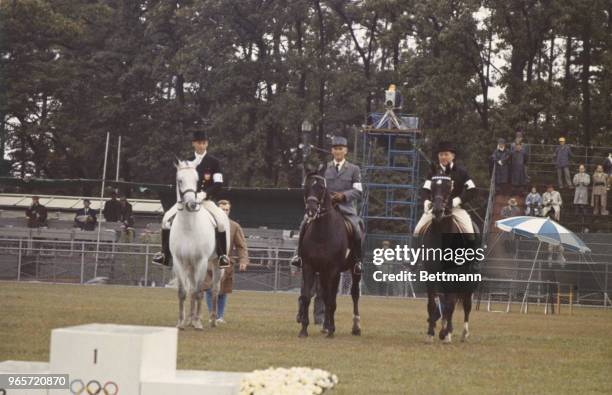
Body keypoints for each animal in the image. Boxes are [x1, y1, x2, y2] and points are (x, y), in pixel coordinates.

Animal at [170, 161, 227, 332]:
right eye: (180, 180)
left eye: (196, 180)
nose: (192, 204)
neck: (188, 226)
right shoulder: (179, 261)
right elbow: (183, 292)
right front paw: (181, 322)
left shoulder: (201, 261)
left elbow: (198, 291)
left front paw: (197, 323)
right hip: (190, 265)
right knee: (192, 289)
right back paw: (189, 319)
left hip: (215, 264)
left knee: (214, 290)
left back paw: (212, 320)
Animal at [298, 173, 360, 338]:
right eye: (306, 187)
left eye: (321, 187)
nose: (311, 209)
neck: (322, 233)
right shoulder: (309, 267)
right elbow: (307, 297)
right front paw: (303, 330)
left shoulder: (333, 270)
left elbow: (331, 301)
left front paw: (332, 330)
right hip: (324, 273)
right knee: (325, 296)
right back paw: (326, 326)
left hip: (353, 270)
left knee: (354, 294)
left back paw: (355, 327)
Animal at [418, 172, 480, 344]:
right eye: (433, 187)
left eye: (449, 188)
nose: (438, 210)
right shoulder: (431, 275)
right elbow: (433, 304)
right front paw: (431, 333)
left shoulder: (454, 275)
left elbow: (451, 305)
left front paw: (446, 334)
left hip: (469, 281)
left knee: (466, 305)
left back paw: (463, 333)